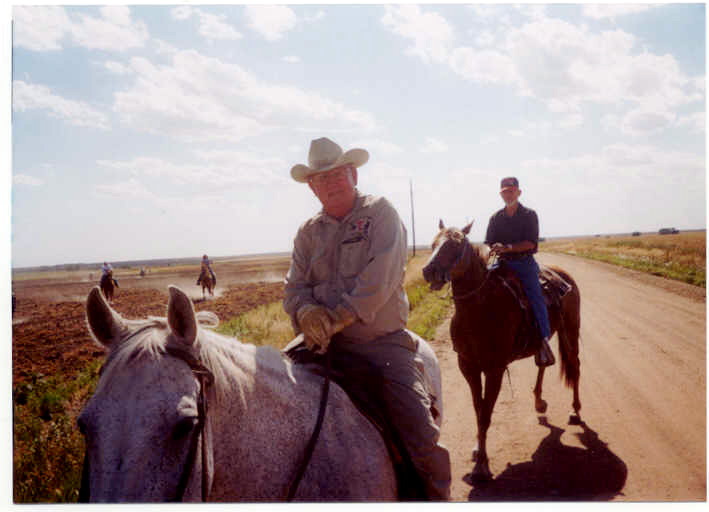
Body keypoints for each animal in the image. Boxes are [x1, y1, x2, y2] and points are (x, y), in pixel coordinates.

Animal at [420, 220, 580, 480]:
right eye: (433, 244)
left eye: (456, 245)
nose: (428, 271)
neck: (479, 308)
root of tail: (563, 276)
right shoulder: (468, 366)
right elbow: (478, 410)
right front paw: (478, 451)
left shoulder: (494, 369)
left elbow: (486, 413)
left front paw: (481, 467)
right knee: (543, 363)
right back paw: (539, 401)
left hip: (572, 330)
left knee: (575, 366)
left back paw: (575, 412)